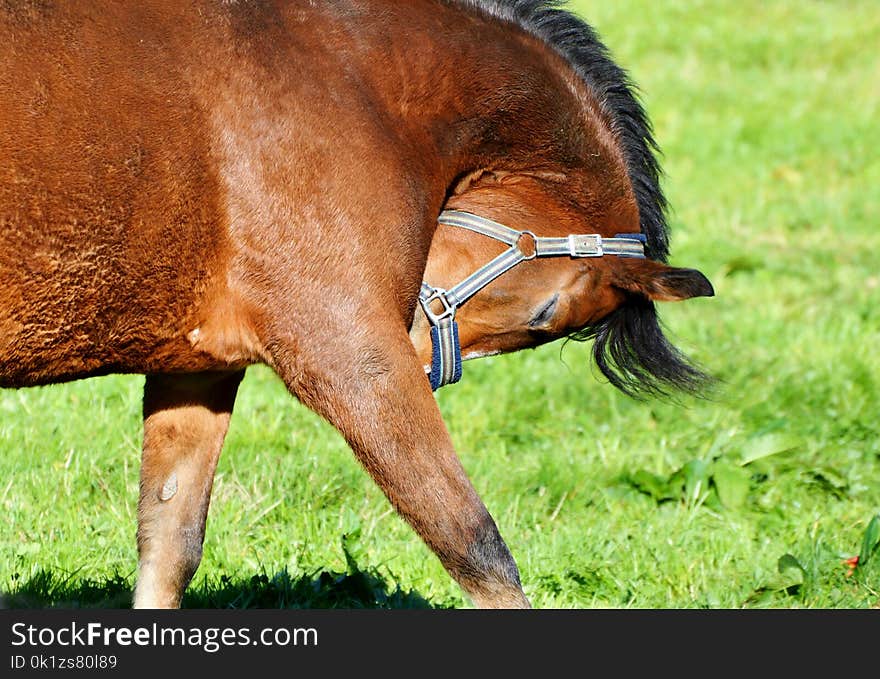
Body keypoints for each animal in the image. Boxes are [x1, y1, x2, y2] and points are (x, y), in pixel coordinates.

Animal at [0, 0, 712, 608]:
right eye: (546, 312)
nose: (425, 359)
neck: (358, 83)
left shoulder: (197, 368)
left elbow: (168, 543)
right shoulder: (352, 355)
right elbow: (474, 545)